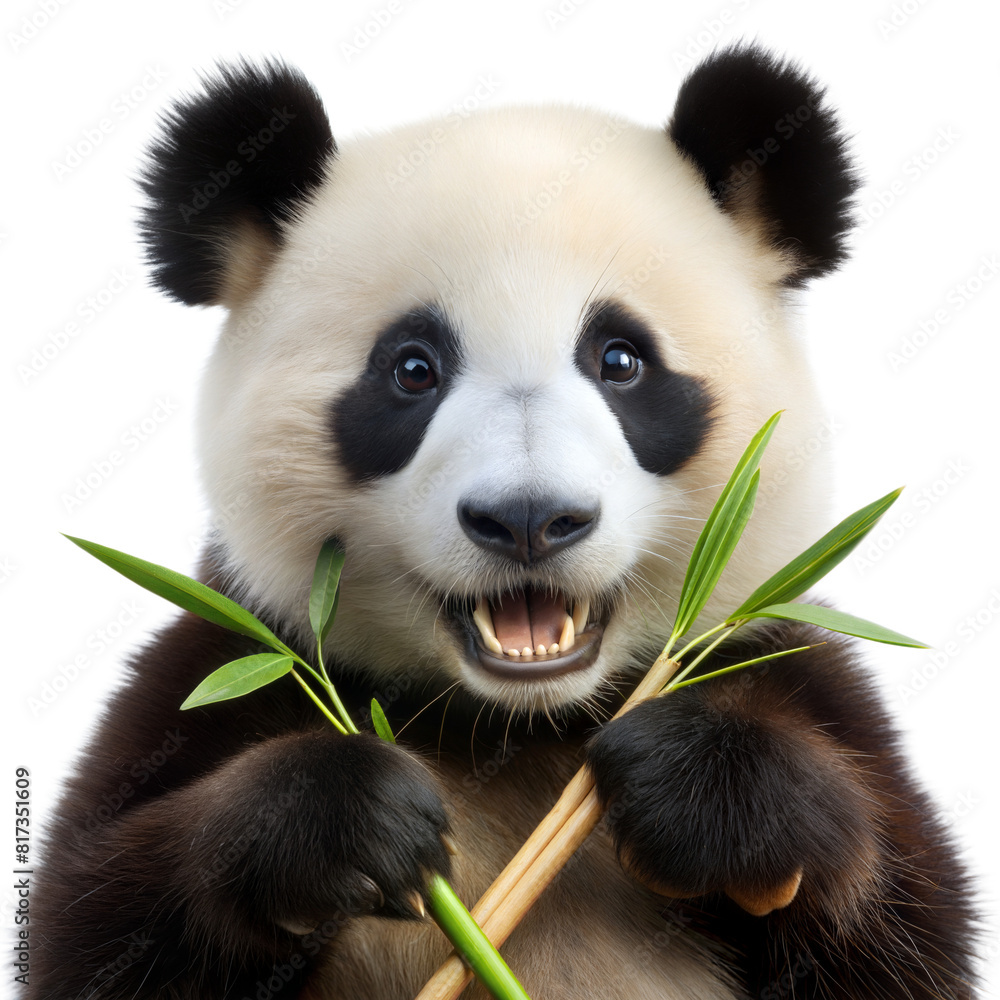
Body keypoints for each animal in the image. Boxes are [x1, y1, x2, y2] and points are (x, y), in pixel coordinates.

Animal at [30, 45, 976, 1000]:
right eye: (412, 369)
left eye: (621, 360)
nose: (528, 518)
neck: (516, 726)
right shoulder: (233, 666)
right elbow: (92, 924)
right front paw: (351, 818)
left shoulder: (785, 663)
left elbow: (906, 922)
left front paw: (697, 787)